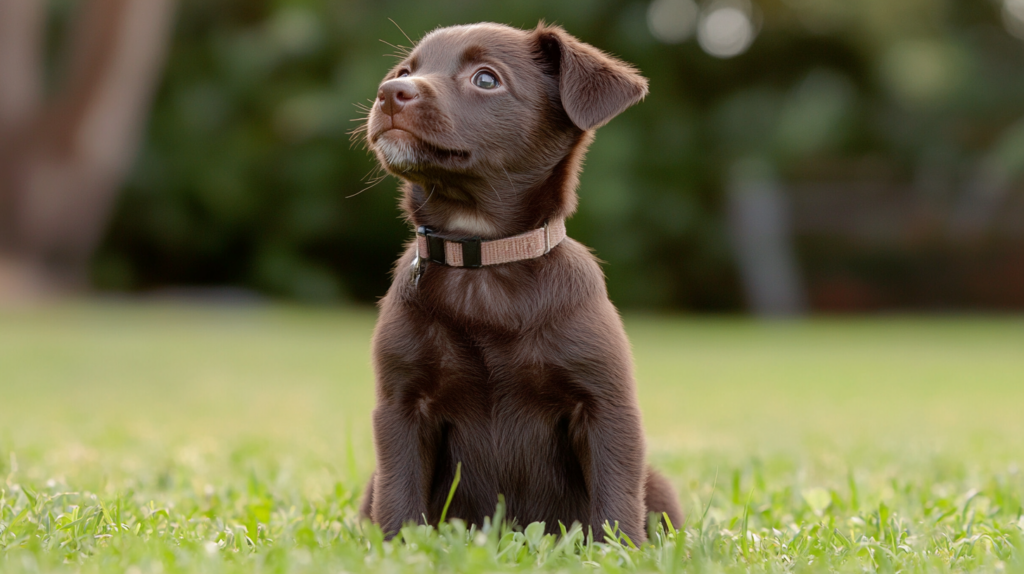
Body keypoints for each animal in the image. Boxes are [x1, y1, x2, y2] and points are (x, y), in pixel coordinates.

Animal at [356, 22, 684, 540]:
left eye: (486, 79)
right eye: (406, 71)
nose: (390, 93)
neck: (483, 257)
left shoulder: (605, 406)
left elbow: (615, 499)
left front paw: (618, 550)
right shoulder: (401, 405)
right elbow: (399, 495)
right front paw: (398, 547)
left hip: (660, 487)